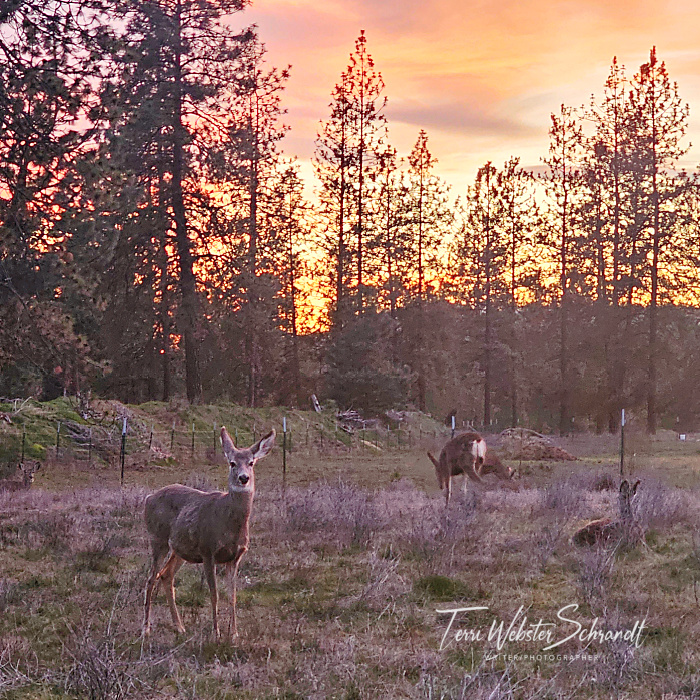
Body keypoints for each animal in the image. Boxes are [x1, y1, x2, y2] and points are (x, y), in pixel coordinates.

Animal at [143, 427, 276, 640]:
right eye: (232, 463)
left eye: (251, 462)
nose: (243, 478)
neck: (229, 526)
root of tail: (148, 497)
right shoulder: (208, 550)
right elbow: (214, 594)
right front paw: (217, 632)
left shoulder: (235, 557)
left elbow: (232, 596)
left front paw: (234, 633)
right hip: (157, 538)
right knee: (150, 578)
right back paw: (146, 628)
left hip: (180, 548)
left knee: (166, 575)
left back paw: (179, 626)